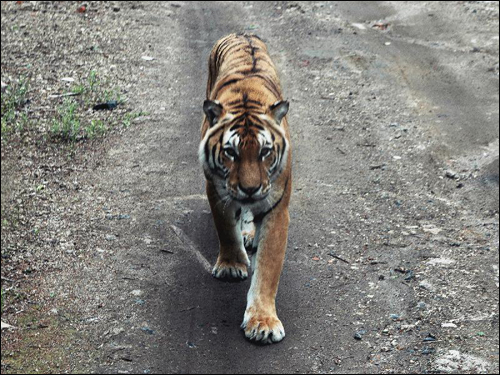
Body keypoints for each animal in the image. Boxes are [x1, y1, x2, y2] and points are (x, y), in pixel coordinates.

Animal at [199, 33, 292, 346]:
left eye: (265, 152)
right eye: (231, 152)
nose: (250, 189)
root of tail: (243, 33)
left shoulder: (277, 209)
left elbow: (268, 268)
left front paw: (262, 322)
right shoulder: (217, 190)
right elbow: (226, 229)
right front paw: (231, 265)